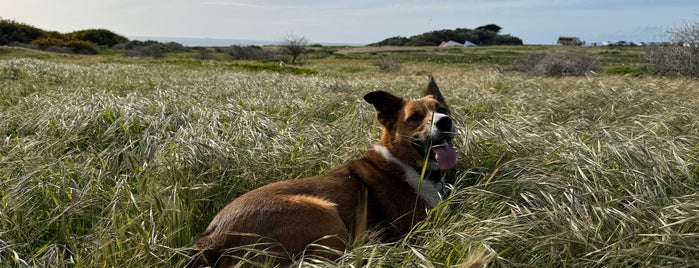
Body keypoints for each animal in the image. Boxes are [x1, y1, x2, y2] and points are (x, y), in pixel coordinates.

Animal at [189, 75, 456, 266]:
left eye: (443, 108)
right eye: (415, 117)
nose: (445, 122)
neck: (406, 164)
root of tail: (211, 237)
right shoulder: (421, 229)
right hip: (325, 214)